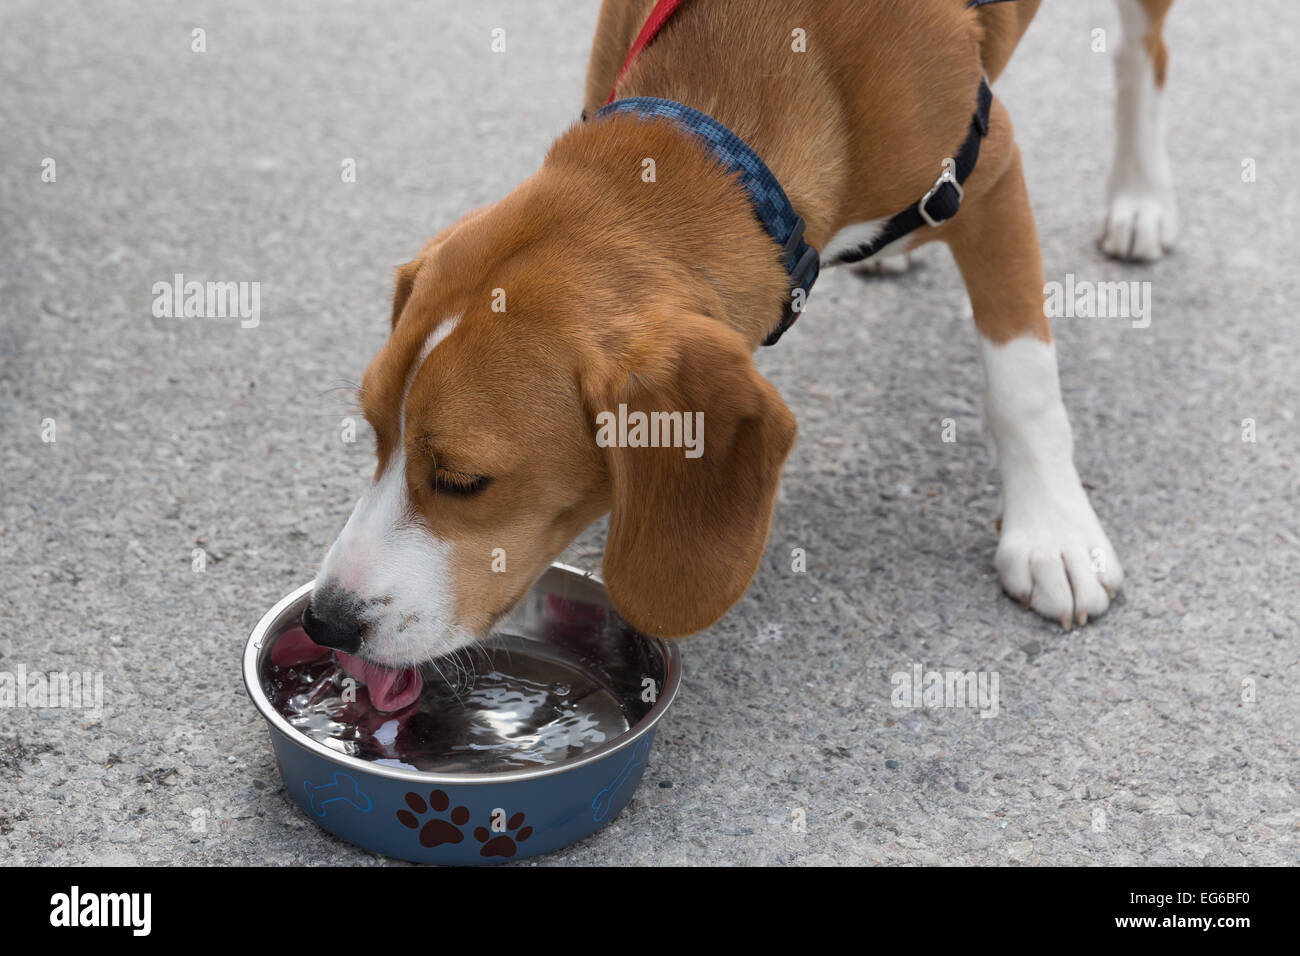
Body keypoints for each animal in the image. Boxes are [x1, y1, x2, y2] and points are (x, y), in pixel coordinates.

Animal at [301, 0, 1180, 671]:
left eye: (463, 482)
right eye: (375, 435)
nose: (325, 621)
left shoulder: (991, 177)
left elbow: (1021, 383)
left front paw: (1052, 533)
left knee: (1143, 53)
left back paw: (1139, 197)